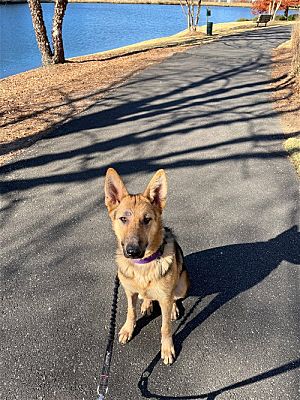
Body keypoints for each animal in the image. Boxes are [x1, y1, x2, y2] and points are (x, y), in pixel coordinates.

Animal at [104, 167, 189, 364]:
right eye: (123, 219)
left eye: (147, 219)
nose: (132, 251)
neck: (142, 265)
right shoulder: (129, 292)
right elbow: (131, 311)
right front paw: (129, 328)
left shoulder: (165, 298)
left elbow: (165, 327)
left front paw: (166, 348)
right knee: (146, 297)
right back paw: (147, 303)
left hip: (182, 285)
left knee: (174, 297)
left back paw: (172, 309)